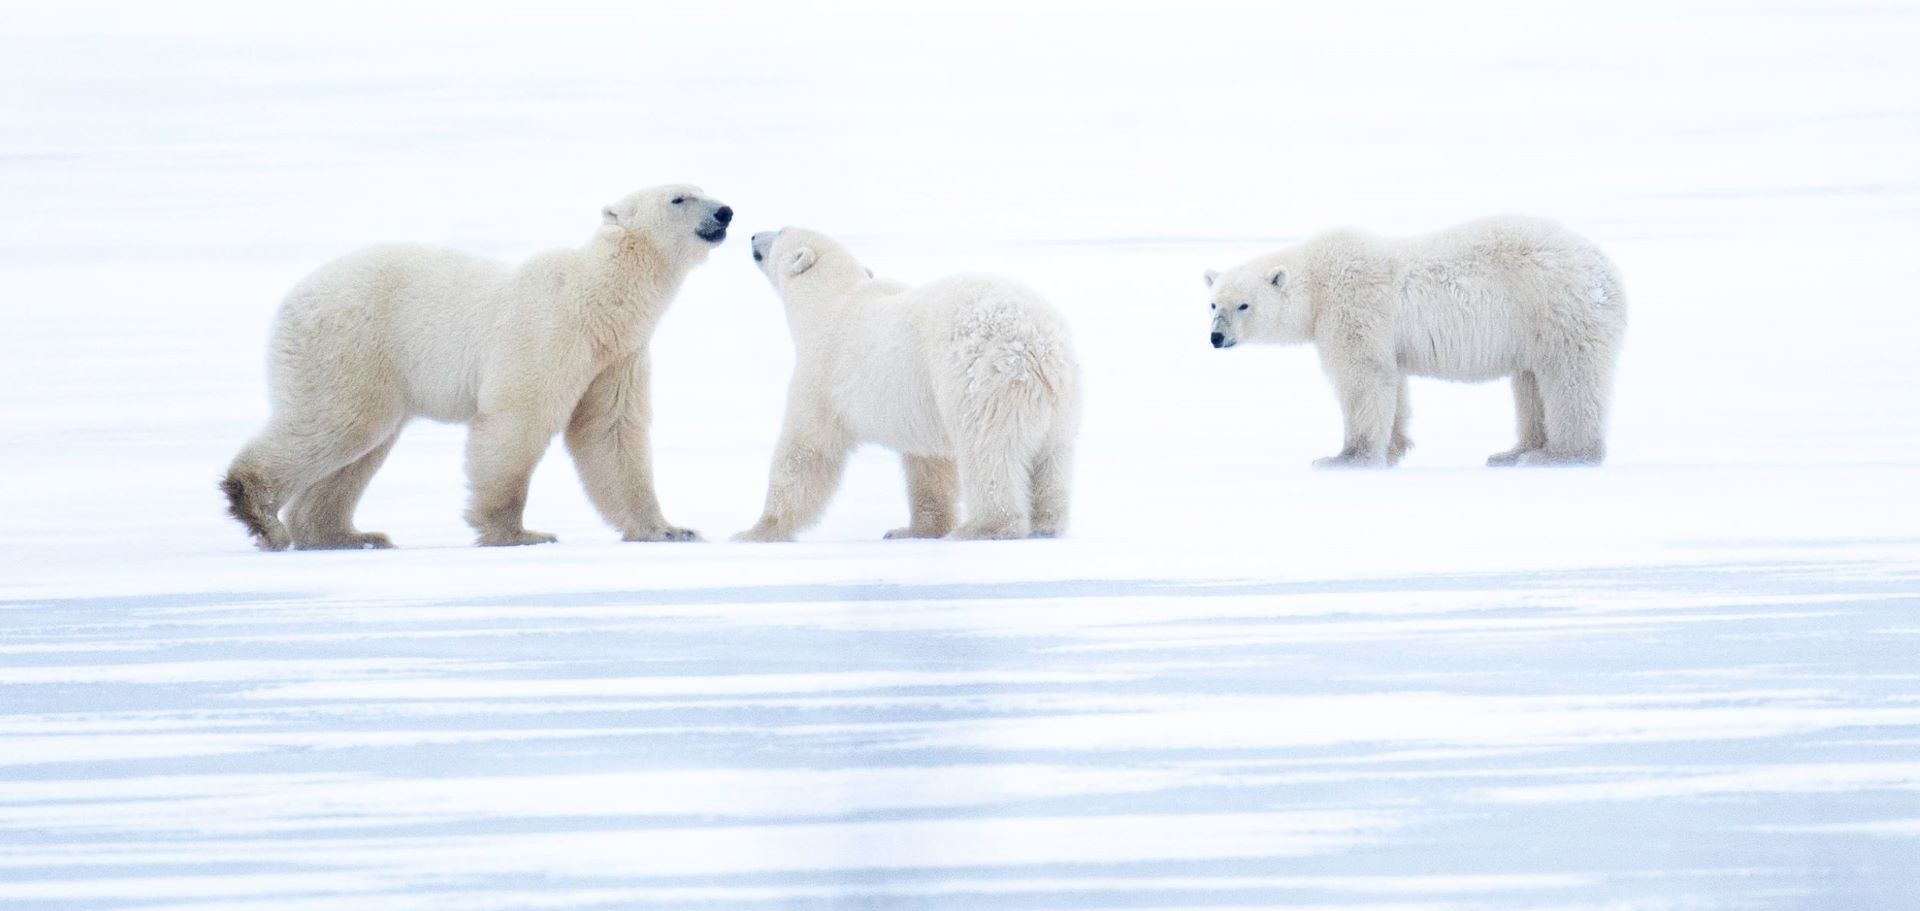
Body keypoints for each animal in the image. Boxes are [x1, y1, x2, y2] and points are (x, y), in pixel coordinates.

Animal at [220, 184, 729, 550]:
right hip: (351, 345)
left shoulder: (616, 358)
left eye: (702, 187)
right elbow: (518, 422)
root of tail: (295, 295)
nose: (725, 212)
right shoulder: (548, 333)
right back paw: (258, 510)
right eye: (679, 197)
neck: (599, 299)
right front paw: (519, 533)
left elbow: (611, 430)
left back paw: (349, 535)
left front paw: (669, 529)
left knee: (363, 448)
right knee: (340, 423)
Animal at [732, 227, 1081, 542]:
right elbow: (929, 464)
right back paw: (1047, 522)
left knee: (988, 453)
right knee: (1053, 457)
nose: (753, 236)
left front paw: (756, 531)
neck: (832, 301)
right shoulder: (918, 402)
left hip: (983, 380)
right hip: (1062, 399)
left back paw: (983, 528)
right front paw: (913, 530)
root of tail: (1036, 343)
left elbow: (806, 451)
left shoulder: (823, 376)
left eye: (781, 231)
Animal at [1206, 215, 1626, 467]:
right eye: (1213, 303)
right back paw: (1514, 451)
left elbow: (1363, 378)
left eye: (1243, 304)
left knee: (1568, 381)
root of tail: (1607, 271)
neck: (1319, 282)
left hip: (1557, 310)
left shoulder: (1353, 308)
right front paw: (1394, 448)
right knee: (1530, 383)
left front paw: (1344, 458)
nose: (1216, 336)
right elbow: (1393, 381)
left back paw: (1562, 455)